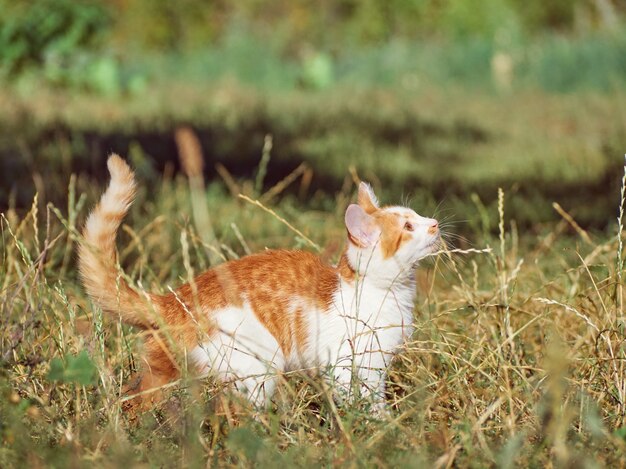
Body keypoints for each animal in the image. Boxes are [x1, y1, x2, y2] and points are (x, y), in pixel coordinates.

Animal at [78, 155, 438, 412]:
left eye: (417, 216)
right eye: (408, 227)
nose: (434, 223)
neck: (382, 292)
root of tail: (175, 298)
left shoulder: (376, 368)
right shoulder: (345, 365)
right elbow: (363, 402)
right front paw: (377, 428)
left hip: (163, 373)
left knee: (137, 401)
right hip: (259, 365)